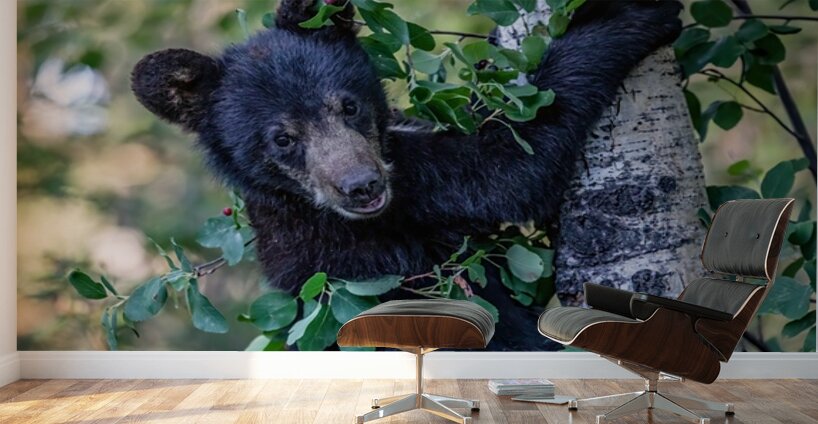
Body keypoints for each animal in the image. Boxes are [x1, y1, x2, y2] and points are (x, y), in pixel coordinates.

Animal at [131, 0, 682, 351]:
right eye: (282, 138)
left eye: (348, 104)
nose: (362, 186)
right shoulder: (412, 198)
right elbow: (510, 166)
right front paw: (627, 16)